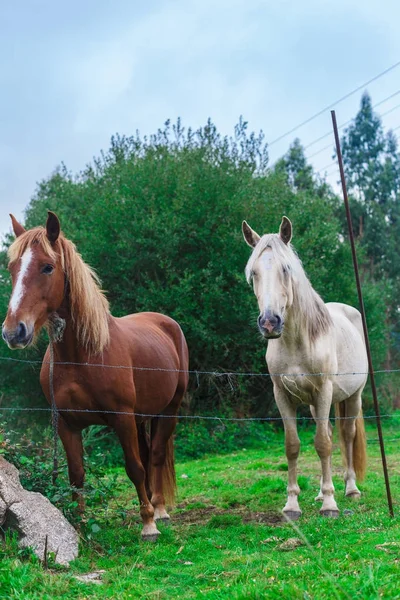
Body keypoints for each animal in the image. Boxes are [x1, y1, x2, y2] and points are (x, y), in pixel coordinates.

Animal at [1, 213, 189, 540]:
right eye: (12, 269)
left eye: (47, 267)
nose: (14, 332)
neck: (82, 356)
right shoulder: (66, 423)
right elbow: (76, 475)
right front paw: (79, 525)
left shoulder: (122, 417)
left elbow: (134, 467)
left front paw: (148, 525)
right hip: (142, 417)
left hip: (169, 410)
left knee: (154, 456)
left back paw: (159, 510)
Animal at [242, 218, 368, 516]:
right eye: (253, 273)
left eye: (286, 268)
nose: (269, 323)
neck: (297, 343)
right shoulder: (283, 396)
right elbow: (293, 446)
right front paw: (292, 504)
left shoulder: (323, 391)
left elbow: (323, 444)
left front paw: (331, 505)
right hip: (315, 404)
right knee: (332, 434)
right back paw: (322, 493)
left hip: (353, 396)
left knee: (346, 435)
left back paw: (350, 489)